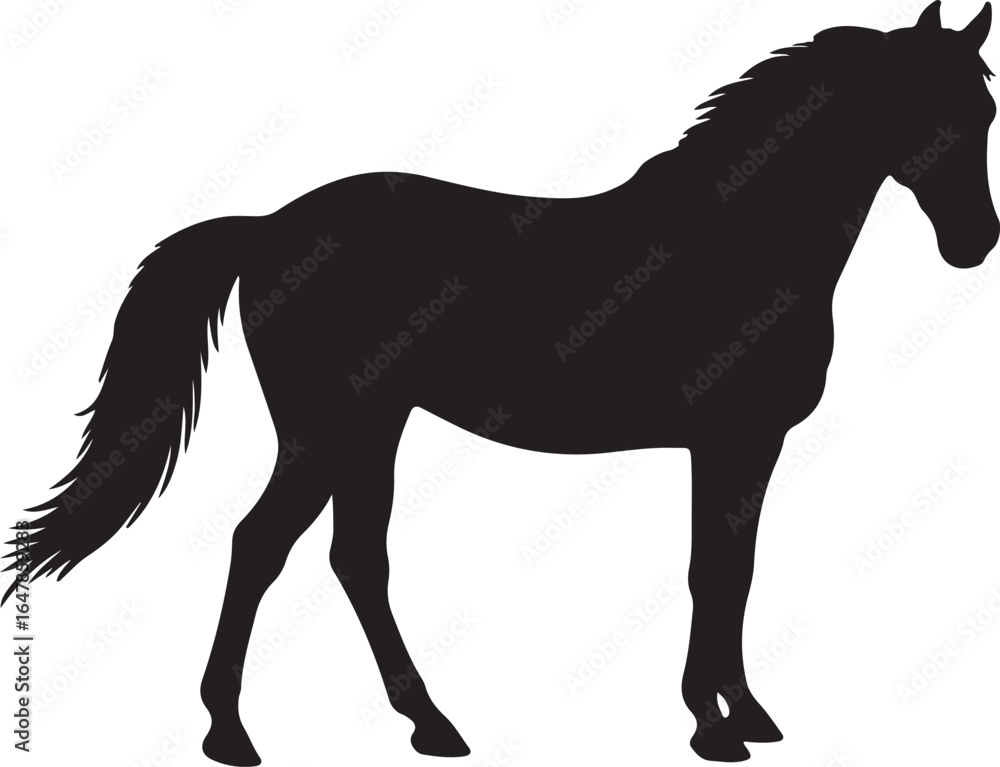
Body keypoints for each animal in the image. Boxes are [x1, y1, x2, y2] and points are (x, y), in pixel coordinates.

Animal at [4, 1, 997, 763]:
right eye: (923, 103)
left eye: (985, 109)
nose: (975, 242)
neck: (740, 237)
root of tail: (268, 226)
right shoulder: (726, 439)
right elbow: (708, 569)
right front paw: (712, 726)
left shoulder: (748, 447)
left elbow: (737, 569)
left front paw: (746, 712)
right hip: (329, 428)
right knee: (262, 545)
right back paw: (234, 734)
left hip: (372, 425)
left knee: (352, 556)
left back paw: (428, 724)